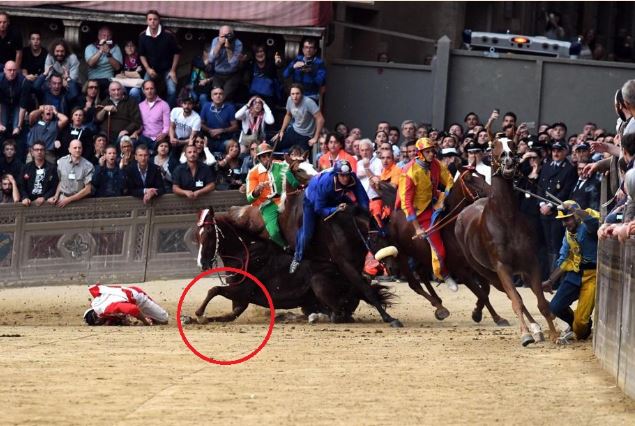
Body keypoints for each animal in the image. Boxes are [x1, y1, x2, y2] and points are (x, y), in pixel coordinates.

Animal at [194, 206, 396, 322]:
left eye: (209, 234)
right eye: (198, 236)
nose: (202, 263)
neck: (247, 254)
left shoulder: (242, 291)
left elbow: (214, 289)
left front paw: (198, 312)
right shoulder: (239, 301)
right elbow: (225, 313)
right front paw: (196, 318)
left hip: (318, 282)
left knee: (339, 315)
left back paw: (314, 317)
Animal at [458, 140, 556, 346]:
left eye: (512, 144)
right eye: (494, 146)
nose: (508, 157)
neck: (506, 219)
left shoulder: (532, 263)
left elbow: (541, 302)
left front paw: (553, 333)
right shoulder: (502, 267)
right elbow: (516, 300)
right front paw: (526, 335)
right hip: (487, 271)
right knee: (505, 293)